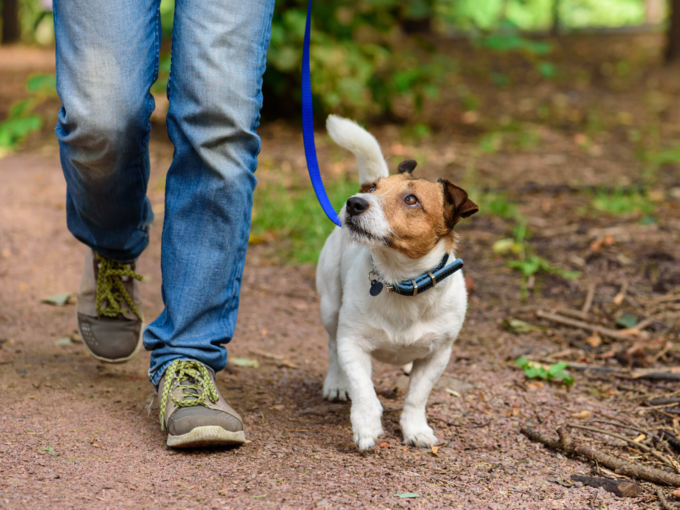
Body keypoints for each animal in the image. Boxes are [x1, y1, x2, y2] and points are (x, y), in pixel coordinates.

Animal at [314, 114, 478, 450]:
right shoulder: (352, 343)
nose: (354, 202)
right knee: (332, 347)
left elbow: (417, 396)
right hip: (330, 307)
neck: (399, 280)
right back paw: (336, 382)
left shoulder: (438, 355)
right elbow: (363, 389)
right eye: (375, 188)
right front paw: (366, 425)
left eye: (411, 200)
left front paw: (415, 429)